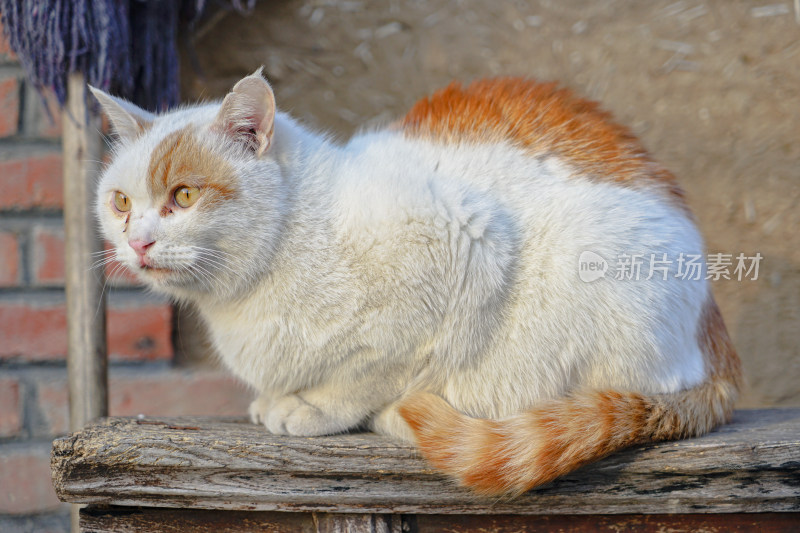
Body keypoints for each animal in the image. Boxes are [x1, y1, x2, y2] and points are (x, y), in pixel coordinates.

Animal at [90, 69, 740, 494]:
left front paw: (318, 408)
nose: (137, 240)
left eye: (183, 196)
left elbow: (373, 370)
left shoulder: (467, 242)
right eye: (121, 202)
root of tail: (716, 343)